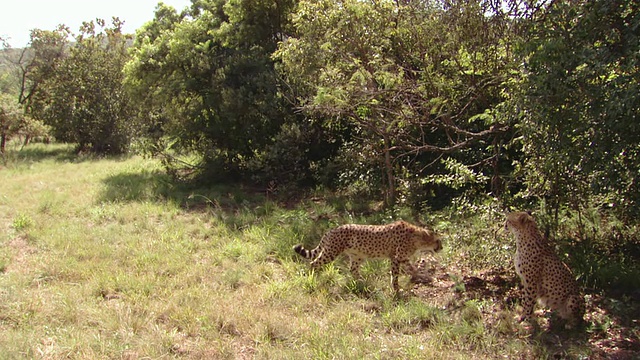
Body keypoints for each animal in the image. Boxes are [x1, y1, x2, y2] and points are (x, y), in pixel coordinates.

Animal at [294, 219, 440, 292]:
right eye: (438, 241)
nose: (441, 247)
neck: (417, 238)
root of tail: (332, 229)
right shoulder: (396, 257)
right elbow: (395, 275)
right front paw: (397, 289)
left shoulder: (402, 258)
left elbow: (412, 269)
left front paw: (423, 277)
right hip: (331, 252)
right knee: (314, 263)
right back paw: (312, 279)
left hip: (357, 255)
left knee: (352, 269)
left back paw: (363, 282)